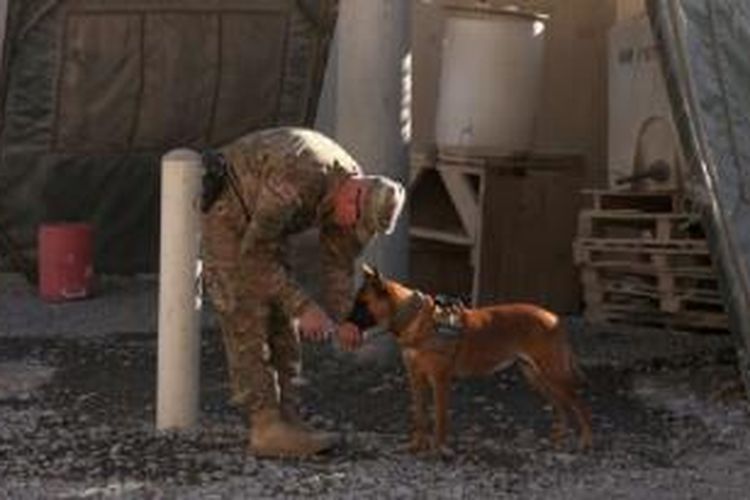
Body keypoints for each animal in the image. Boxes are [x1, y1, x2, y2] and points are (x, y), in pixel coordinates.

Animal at [352, 266, 592, 454]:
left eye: (361, 304)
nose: (344, 321)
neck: (416, 320)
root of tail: (554, 318)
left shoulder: (440, 381)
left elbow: (440, 418)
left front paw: (437, 450)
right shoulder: (415, 379)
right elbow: (420, 416)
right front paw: (417, 446)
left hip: (552, 375)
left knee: (580, 404)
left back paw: (585, 442)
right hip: (536, 377)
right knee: (562, 407)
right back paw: (559, 438)